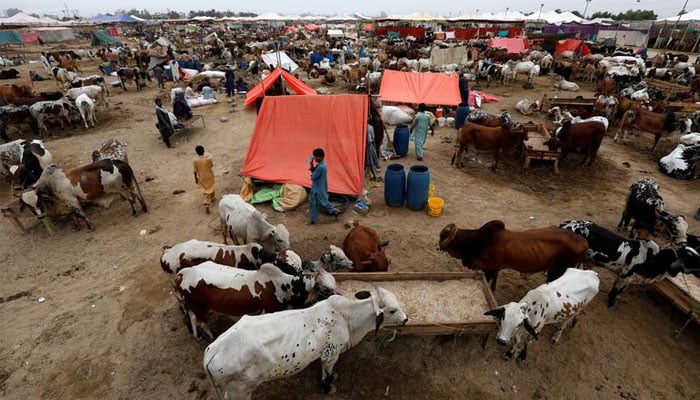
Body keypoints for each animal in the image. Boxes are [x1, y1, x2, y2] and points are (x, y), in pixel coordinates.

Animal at [19, 159, 148, 230]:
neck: (50, 182)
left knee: (131, 199)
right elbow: (73, 214)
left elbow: (80, 213)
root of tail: (119, 162)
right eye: (29, 206)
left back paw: (134, 212)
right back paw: (143, 208)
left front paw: (89, 226)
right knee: (136, 194)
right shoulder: (69, 202)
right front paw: (76, 226)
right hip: (129, 184)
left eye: (38, 201)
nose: (40, 217)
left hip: (121, 189)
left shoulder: (72, 201)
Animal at [176, 262, 338, 340]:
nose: (338, 296)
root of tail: (183, 273)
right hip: (199, 307)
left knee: (192, 318)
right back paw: (211, 336)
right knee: (201, 322)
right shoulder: (270, 311)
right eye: (325, 289)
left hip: (194, 306)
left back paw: (197, 336)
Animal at [202, 288, 408, 400]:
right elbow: (326, 373)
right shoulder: (330, 354)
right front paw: (328, 387)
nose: (406, 319)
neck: (346, 316)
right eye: (392, 310)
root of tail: (212, 351)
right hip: (240, 391)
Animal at [440, 219, 588, 290]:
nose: (438, 247)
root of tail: (584, 242)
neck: (478, 241)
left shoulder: (489, 269)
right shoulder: (494, 269)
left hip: (560, 270)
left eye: (442, 236)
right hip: (553, 270)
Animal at [560, 220, 700, 308]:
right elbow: (616, 291)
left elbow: (617, 290)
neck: (654, 258)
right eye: (693, 259)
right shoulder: (625, 275)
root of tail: (567, 224)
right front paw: (611, 304)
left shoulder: (625, 277)